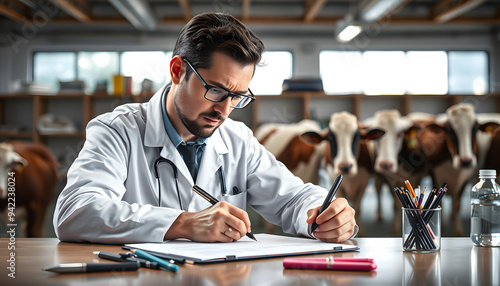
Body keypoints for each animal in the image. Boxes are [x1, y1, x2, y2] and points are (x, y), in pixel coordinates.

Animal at [256, 111, 384, 235]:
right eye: (330, 138)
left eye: (357, 137)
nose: (345, 166)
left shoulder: (363, 182)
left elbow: (358, 207)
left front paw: (361, 232)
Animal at [418, 104, 500, 236]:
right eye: (450, 131)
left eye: (475, 130)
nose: (465, 161)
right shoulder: (435, 176)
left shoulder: (465, 179)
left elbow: (456, 206)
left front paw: (458, 232)